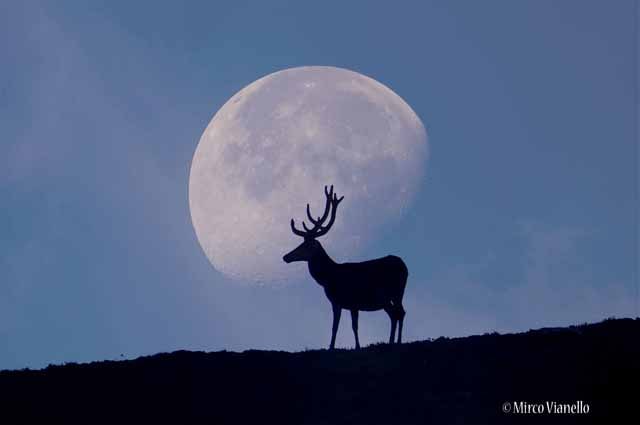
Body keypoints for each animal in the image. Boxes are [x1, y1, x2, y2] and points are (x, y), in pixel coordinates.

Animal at [283, 185, 408, 350]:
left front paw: (351, 346)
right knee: (398, 313)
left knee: (398, 313)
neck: (330, 277)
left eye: (306, 245)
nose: (286, 256)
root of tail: (405, 266)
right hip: (393, 296)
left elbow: (350, 326)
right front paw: (336, 346)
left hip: (391, 293)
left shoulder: (349, 300)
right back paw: (395, 341)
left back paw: (395, 342)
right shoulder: (342, 303)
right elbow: (338, 326)